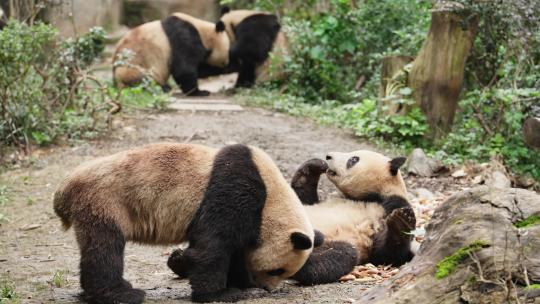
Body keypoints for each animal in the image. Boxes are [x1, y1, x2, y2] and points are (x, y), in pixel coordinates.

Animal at [52, 143, 314, 304]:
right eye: (277, 270)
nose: (268, 288)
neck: (272, 200)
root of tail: (64, 190)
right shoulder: (234, 190)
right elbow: (212, 246)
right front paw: (221, 293)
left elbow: (236, 250)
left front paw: (240, 283)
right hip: (104, 201)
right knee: (105, 248)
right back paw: (123, 293)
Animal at [288, 150, 416, 284]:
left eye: (353, 159)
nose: (328, 156)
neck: (369, 197)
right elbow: (300, 200)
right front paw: (315, 165)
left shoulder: (391, 205)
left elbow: (387, 254)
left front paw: (400, 222)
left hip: (336, 242)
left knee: (341, 254)